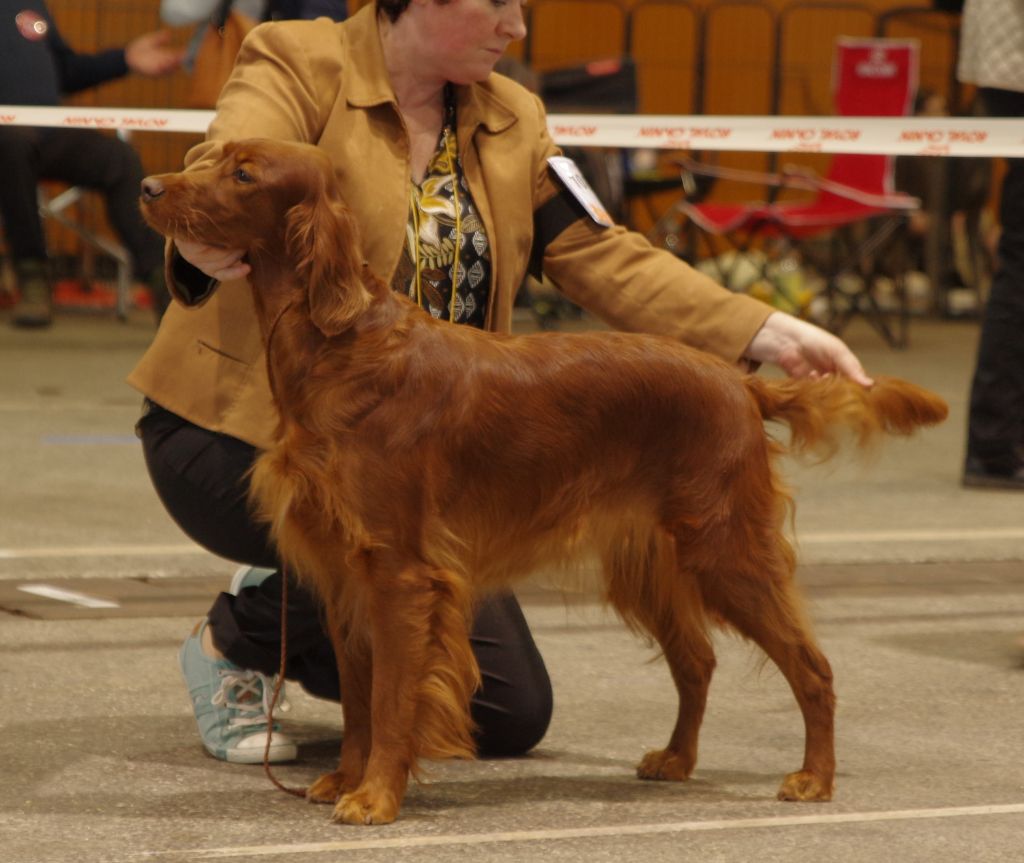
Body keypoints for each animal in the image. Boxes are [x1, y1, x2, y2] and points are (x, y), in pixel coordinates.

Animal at [140, 138, 946, 827]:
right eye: (210, 155)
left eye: (244, 173)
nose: (149, 185)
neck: (341, 346)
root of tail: (739, 383)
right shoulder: (342, 575)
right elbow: (361, 700)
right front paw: (346, 776)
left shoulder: (400, 573)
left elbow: (393, 697)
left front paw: (374, 796)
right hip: (652, 562)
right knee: (698, 660)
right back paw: (676, 758)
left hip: (727, 550)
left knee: (813, 666)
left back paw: (814, 778)